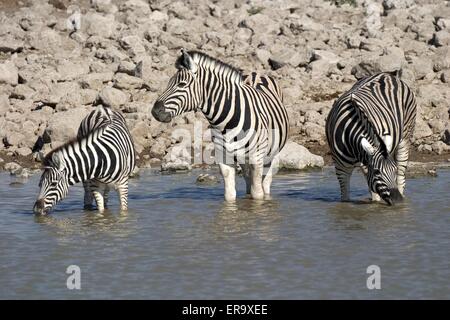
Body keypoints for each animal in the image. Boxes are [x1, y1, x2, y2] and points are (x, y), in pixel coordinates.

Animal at [151, 49, 288, 200]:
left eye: (181, 84)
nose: (155, 111)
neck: (228, 122)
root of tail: (255, 73)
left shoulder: (256, 157)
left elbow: (258, 194)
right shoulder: (224, 157)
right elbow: (230, 195)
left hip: (271, 153)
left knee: (266, 182)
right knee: (248, 180)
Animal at [326, 72, 416, 205]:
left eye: (393, 170)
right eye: (377, 172)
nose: (398, 201)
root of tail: (387, 74)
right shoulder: (341, 168)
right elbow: (345, 197)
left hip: (405, 137)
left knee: (401, 175)